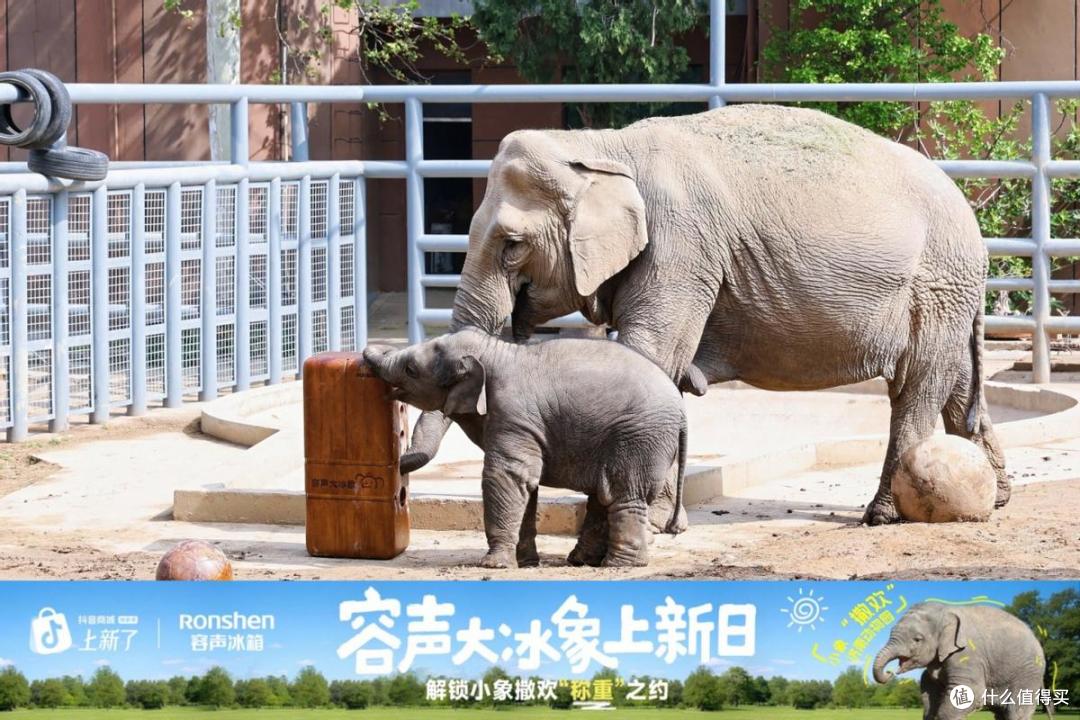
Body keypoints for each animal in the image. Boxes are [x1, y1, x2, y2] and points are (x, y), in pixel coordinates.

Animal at [362, 327, 688, 568]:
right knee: (603, 495)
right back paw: (582, 561)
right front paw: (525, 563)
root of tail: (682, 410)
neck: (496, 352)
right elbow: (525, 484)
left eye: (411, 369)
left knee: (623, 493)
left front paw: (493, 566)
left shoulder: (514, 415)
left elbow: (505, 475)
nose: (365, 355)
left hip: (640, 437)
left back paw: (620, 565)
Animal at [400, 103, 1008, 526]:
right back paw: (994, 499)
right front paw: (659, 518)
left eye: (512, 246)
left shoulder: (680, 245)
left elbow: (649, 352)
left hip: (934, 283)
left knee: (915, 387)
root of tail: (974, 224)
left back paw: (882, 516)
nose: (403, 470)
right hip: (946, 292)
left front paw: (645, 518)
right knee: (952, 384)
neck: (603, 148)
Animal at [873, 602, 1054, 719]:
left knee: (1017, 712)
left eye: (917, 639)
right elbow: (927, 686)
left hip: (1028, 673)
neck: (945, 610)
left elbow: (971, 691)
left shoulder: (968, 654)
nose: (889, 672)